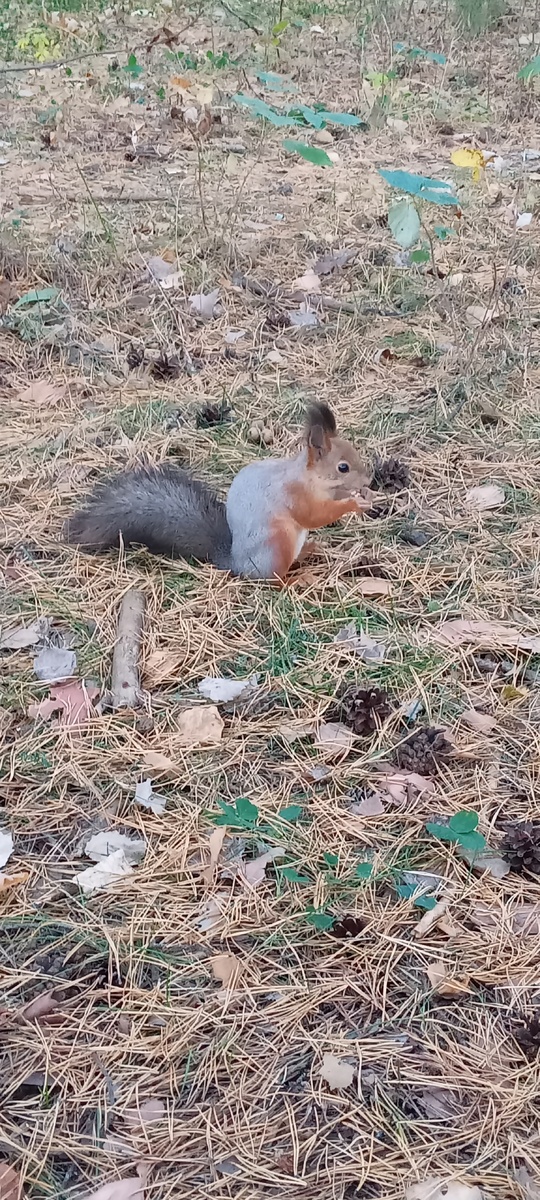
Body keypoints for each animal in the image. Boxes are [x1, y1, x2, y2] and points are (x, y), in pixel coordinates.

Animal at [63, 403, 374, 580]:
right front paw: (353, 505)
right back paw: (293, 580)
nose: (370, 479)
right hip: (277, 544)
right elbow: (314, 515)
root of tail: (237, 564)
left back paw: (308, 551)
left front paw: (365, 498)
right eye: (343, 467)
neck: (311, 478)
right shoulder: (294, 494)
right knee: (271, 580)